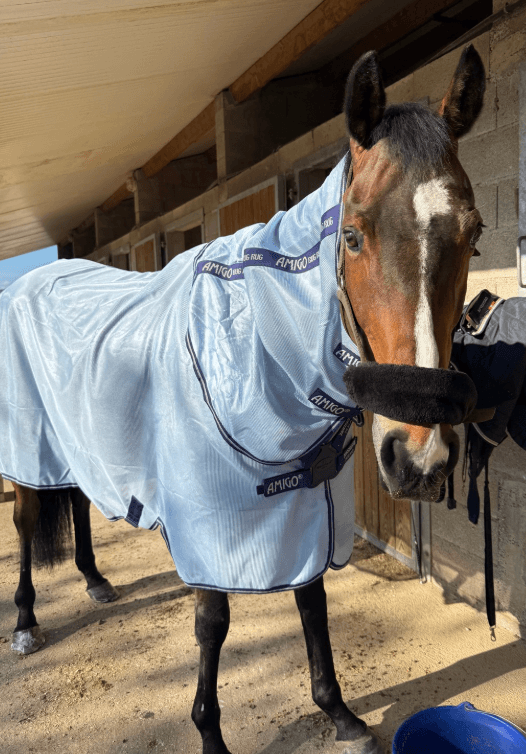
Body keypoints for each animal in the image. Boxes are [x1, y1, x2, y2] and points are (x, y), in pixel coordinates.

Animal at [3, 46, 486, 754]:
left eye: (474, 235)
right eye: (353, 235)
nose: (420, 459)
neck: (254, 349)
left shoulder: (311, 505)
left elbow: (312, 599)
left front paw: (340, 713)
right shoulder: (211, 521)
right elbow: (213, 622)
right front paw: (210, 732)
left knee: (84, 507)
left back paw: (95, 582)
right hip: (29, 450)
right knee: (26, 519)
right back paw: (26, 623)